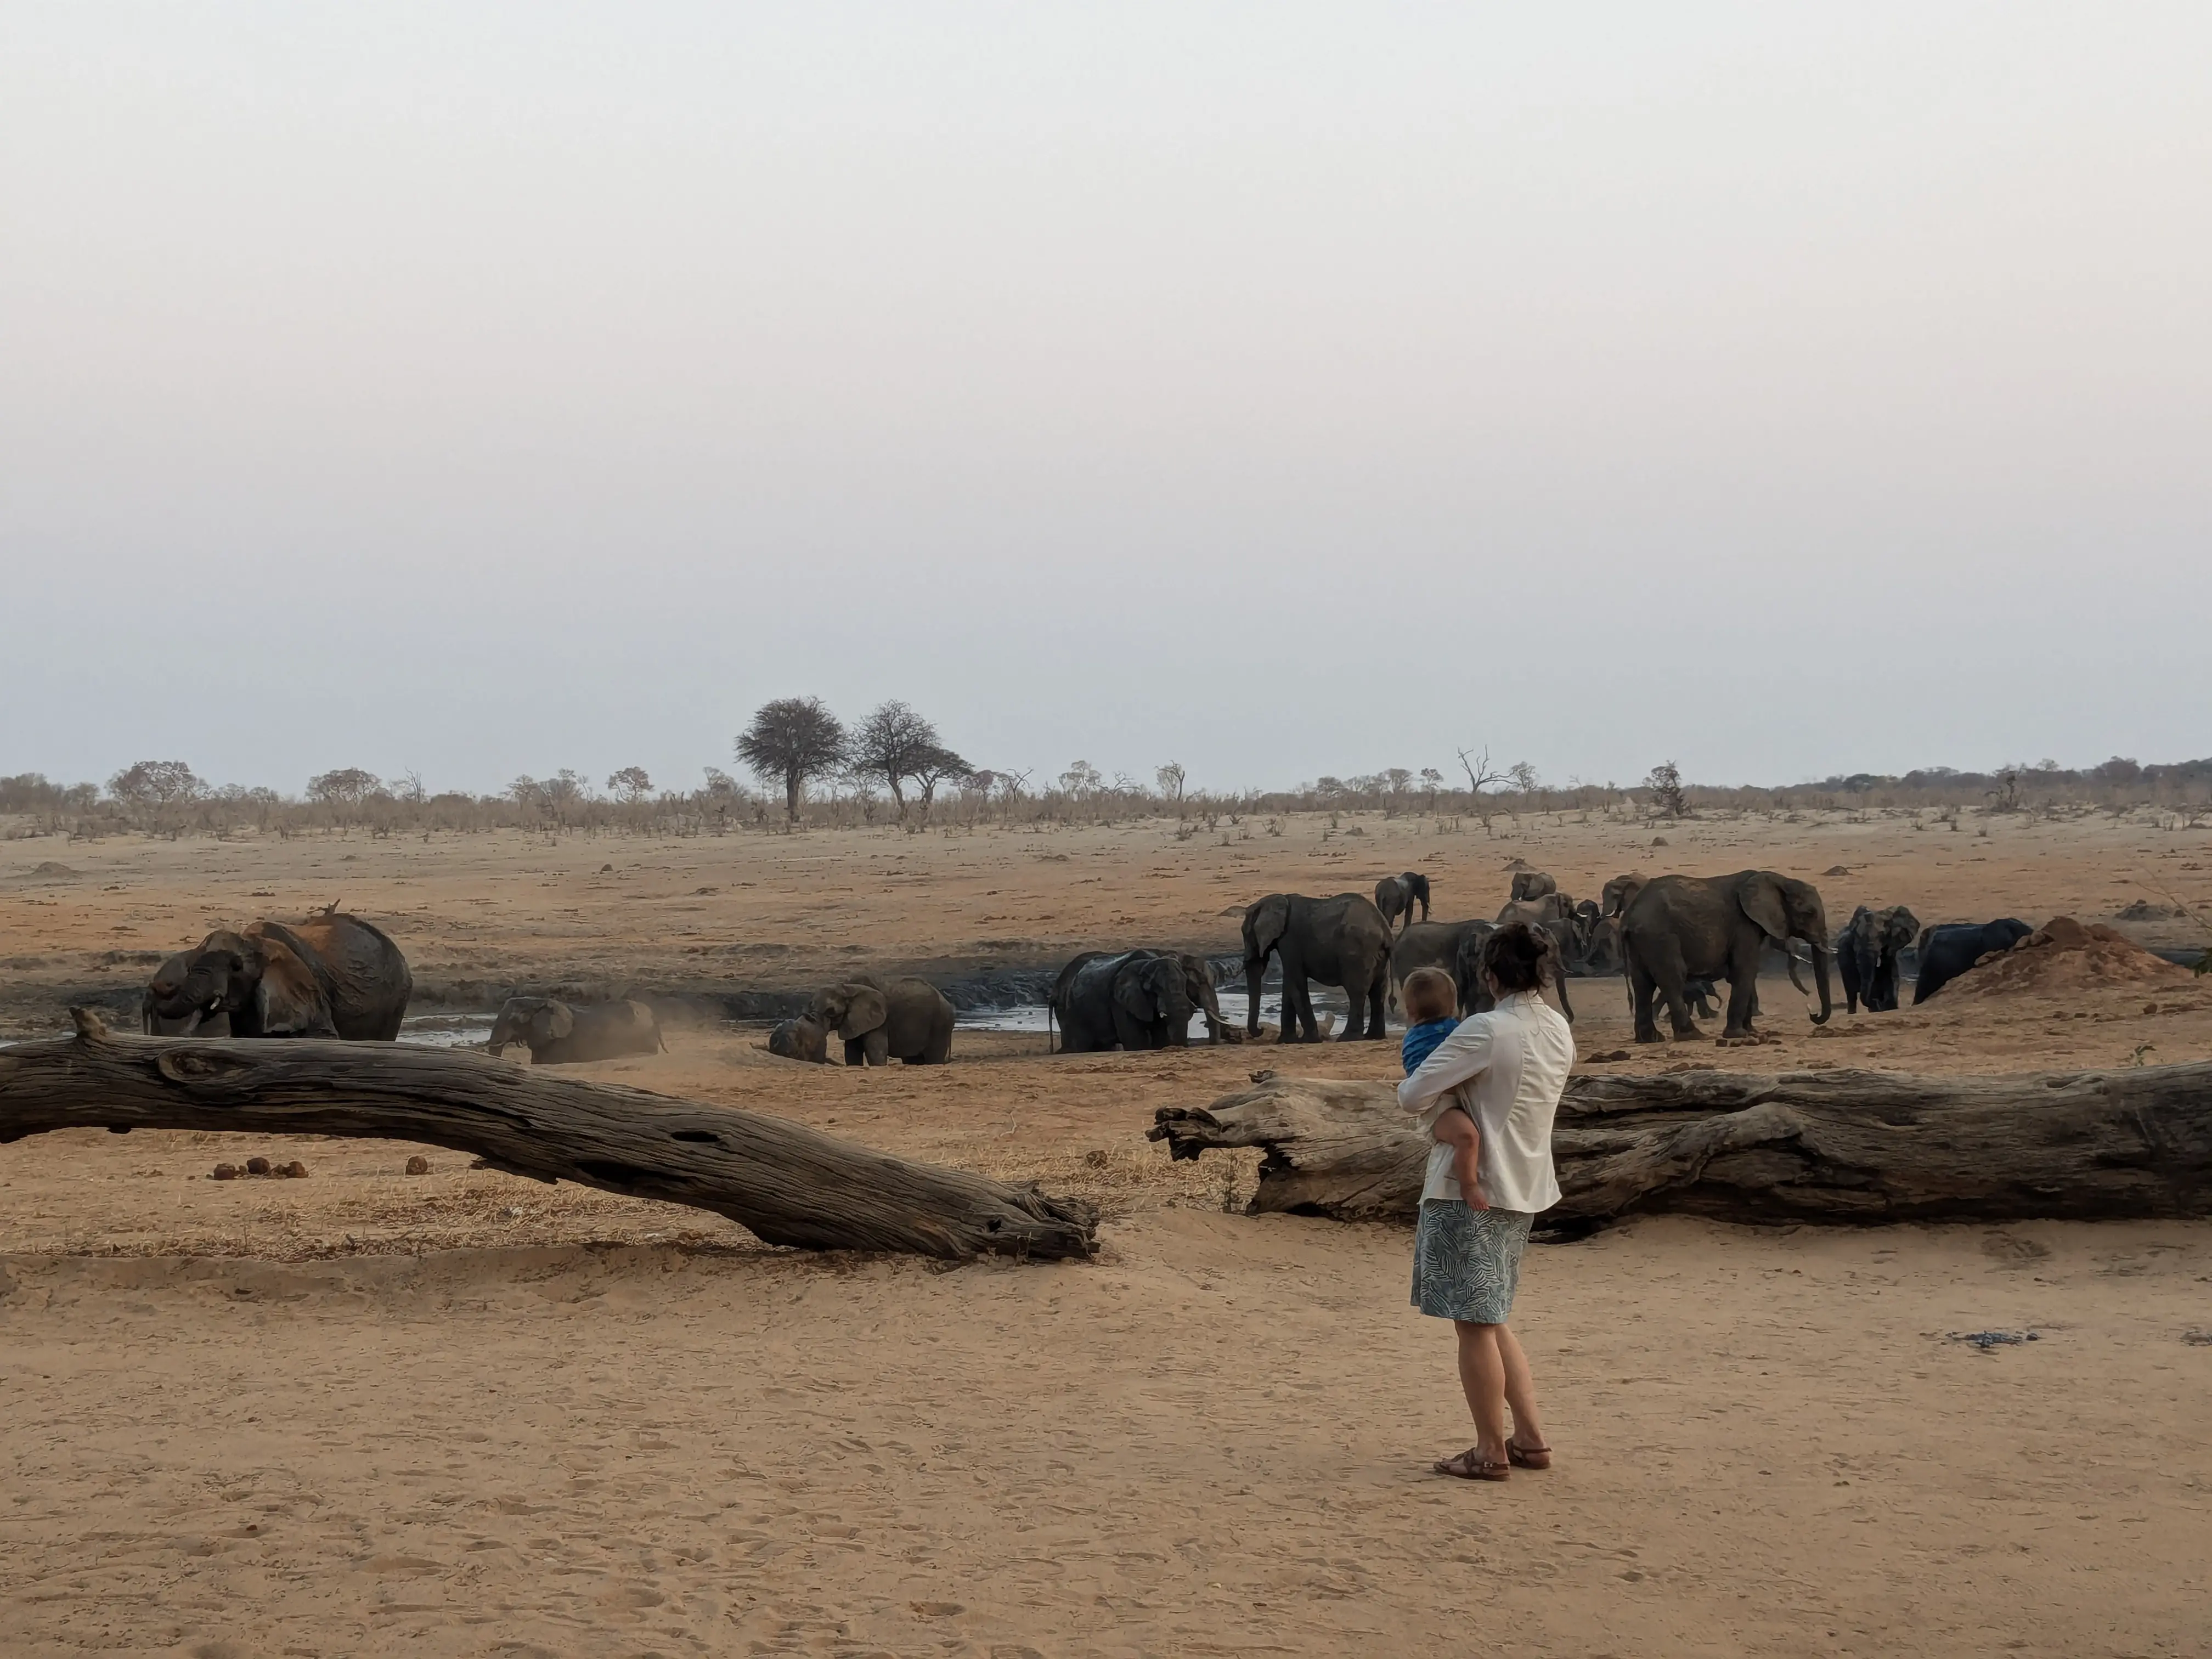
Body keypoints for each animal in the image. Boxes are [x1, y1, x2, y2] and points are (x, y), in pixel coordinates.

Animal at [811, 974, 956, 1066]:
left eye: (831, 1011)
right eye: (811, 1005)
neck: (848, 988)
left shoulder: (880, 1022)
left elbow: (876, 1054)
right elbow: (852, 1054)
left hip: (940, 1024)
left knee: (934, 1058)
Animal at [1050, 950, 1196, 1052]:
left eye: (1186, 983)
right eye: (1155, 988)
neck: (1145, 963)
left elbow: (1161, 1036)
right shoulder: (1119, 1000)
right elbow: (1134, 1038)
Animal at [1243, 892, 1393, 1042]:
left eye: (1247, 935)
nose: (1261, 1029)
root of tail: (1384, 929)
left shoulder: (1290, 940)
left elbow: (1296, 982)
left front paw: (1309, 1040)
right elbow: (1289, 982)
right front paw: (1286, 1041)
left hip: (1358, 951)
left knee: (1357, 992)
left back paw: (1347, 1038)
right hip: (1378, 957)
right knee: (1378, 992)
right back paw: (1374, 1036)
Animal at [1620, 871, 1833, 1043]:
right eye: (1809, 913)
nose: (1812, 1013)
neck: (1779, 879)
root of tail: (1629, 915)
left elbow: (1748, 974)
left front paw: (1754, 1034)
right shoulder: (1744, 926)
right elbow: (1744, 971)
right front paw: (1737, 1035)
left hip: (1643, 941)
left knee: (1643, 984)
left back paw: (1650, 1039)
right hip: (1661, 937)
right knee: (1673, 980)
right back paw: (1694, 1036)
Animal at [1837, 904, 1921, 1014]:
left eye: (1882, 935)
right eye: (1857, 935)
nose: (1878, 1003)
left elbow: (1891, 974)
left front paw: (1889, 1006)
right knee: (1851, 994)